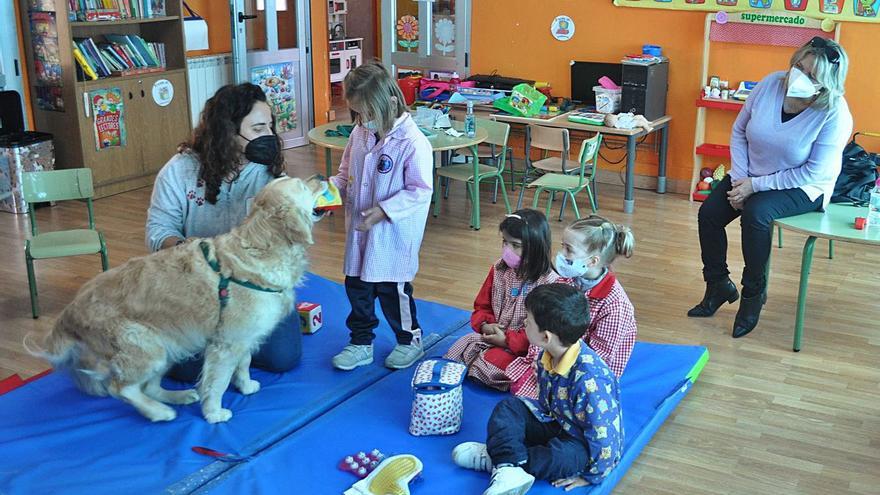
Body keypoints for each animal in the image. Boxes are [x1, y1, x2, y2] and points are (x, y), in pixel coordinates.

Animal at [25, 176, 324, 424]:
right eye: (301, 184)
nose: (320, 176)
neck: (261, 247)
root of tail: (70, 310)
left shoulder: (244, 337)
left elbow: (244, 363)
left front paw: (246, 385)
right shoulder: (226, 344)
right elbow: (218, 381)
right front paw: (213, 413)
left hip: (170, 345)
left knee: (149, 386)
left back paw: (177, 397)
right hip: (146, 345)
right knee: (120, 387)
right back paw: (159, 412)